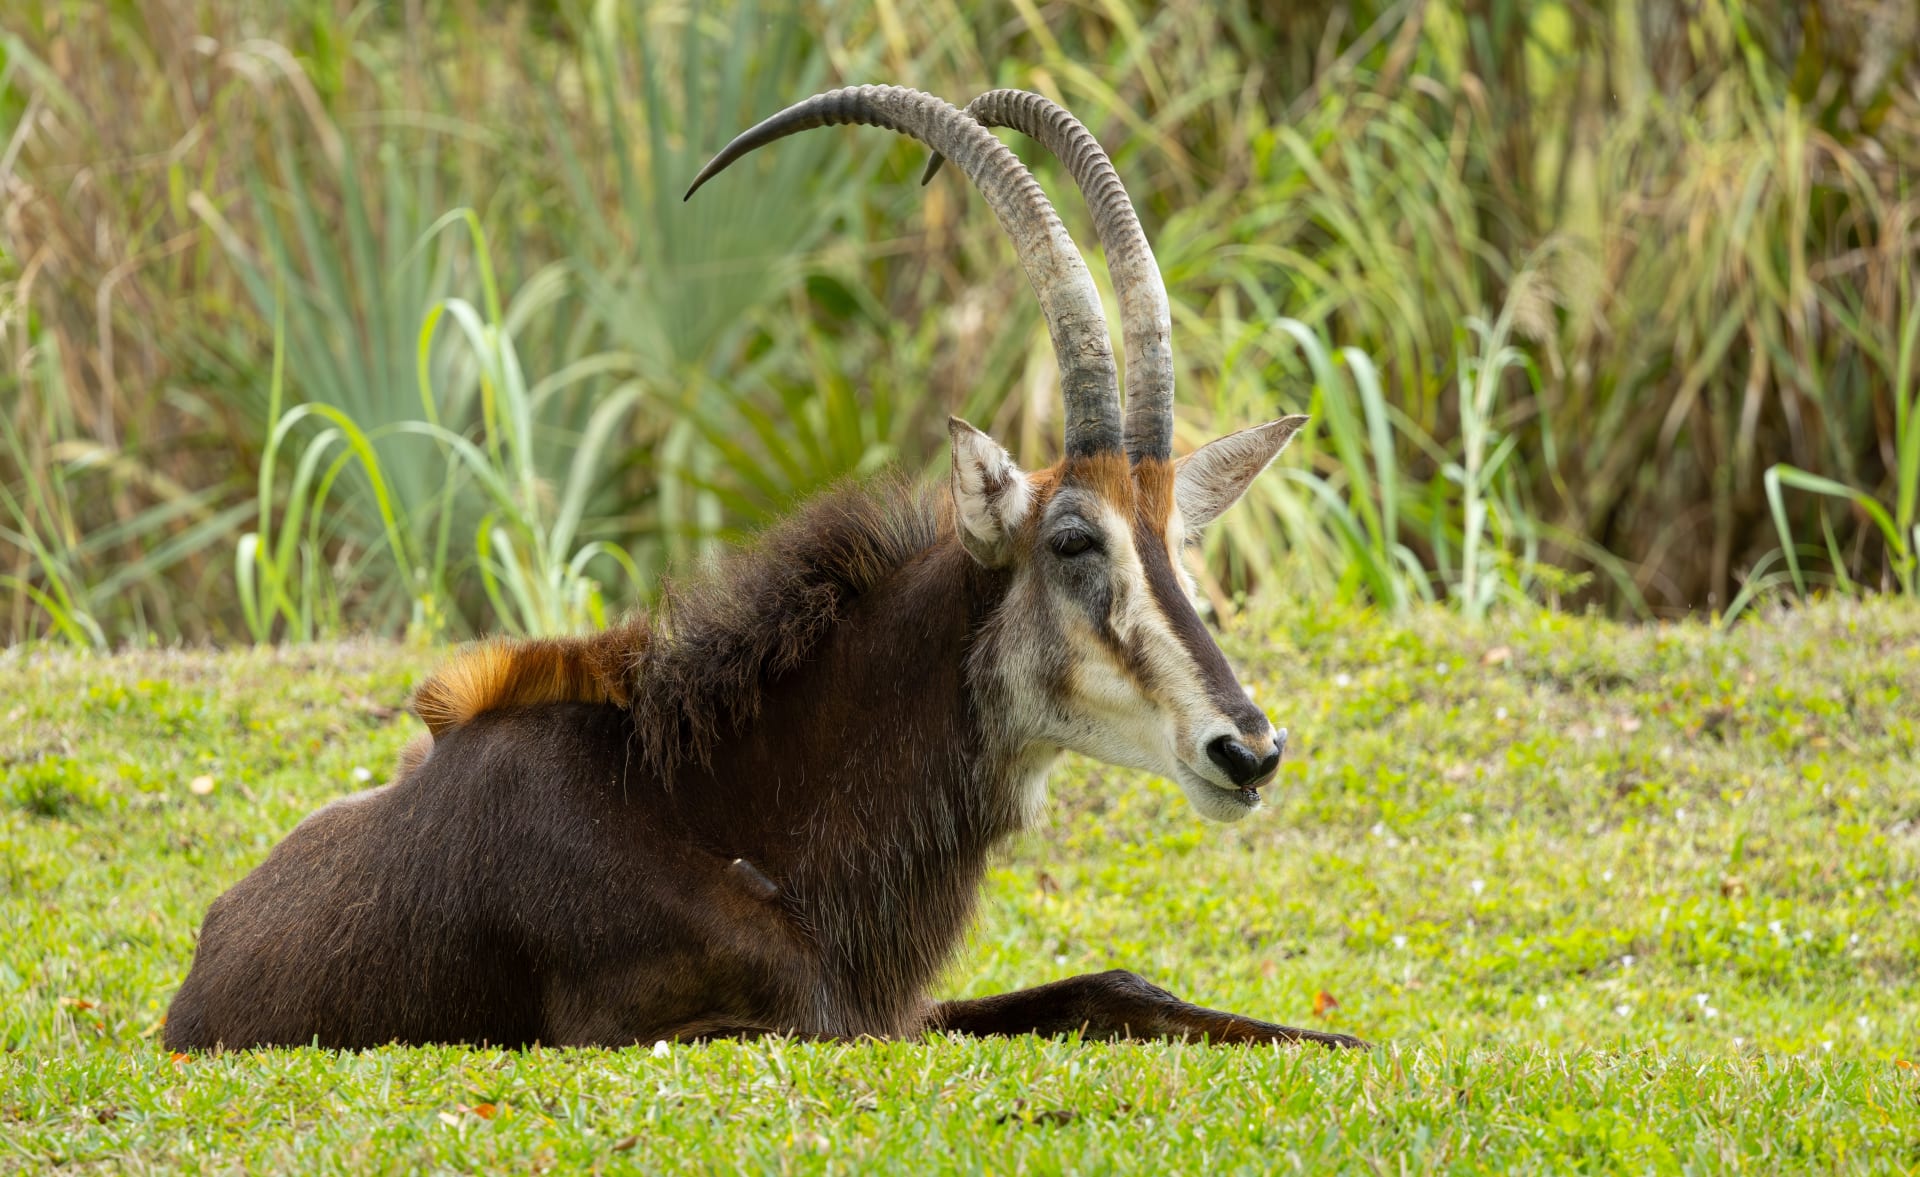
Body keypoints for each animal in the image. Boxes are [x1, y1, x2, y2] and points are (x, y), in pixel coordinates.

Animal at [165, 86, 1365, 1052]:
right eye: (1073, 540)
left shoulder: (895, 1008)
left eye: (1179, 546)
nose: (1248, 748)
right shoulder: (727, 1028)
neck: (720, 812)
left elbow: (1114, 986)